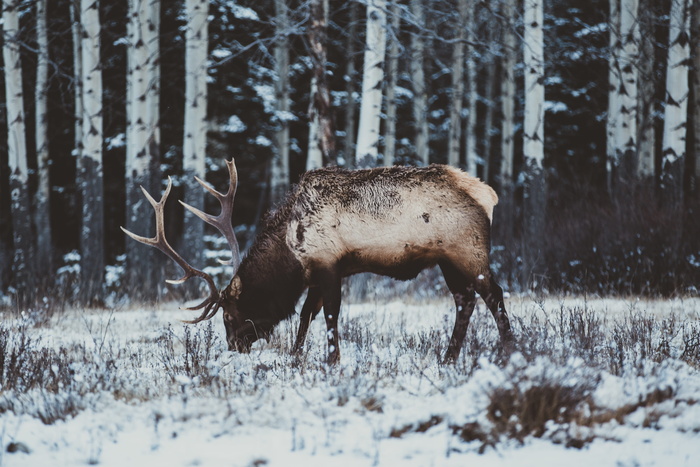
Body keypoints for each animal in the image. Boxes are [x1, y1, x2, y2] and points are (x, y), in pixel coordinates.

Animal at [121, 159, 516, 364]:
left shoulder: (329, 265)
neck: (289, 250)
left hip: (468, 251)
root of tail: (489, 194)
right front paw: (296, 357)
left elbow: (328, 315)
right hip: (447, 260)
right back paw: (448, 357)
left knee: (493, 294)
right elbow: (306, 315)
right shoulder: (315, 273)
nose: (234, 347)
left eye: (230, 316)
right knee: (465, 301)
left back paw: (509, 351)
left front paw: (331, 359)